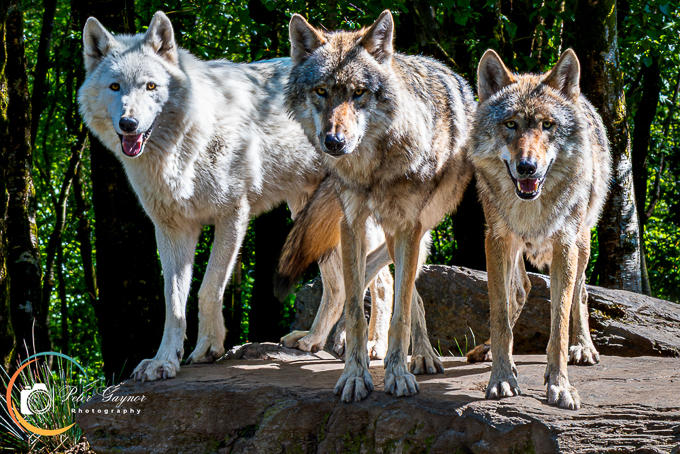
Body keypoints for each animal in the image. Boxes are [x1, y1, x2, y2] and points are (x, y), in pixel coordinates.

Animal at [77, 11, 395, 382]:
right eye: (115, 87)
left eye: (151, 86)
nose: (129, 123)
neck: (185, 145)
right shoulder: (172, 230)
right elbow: (173, 303)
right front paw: (164, 362)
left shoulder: (233, 216)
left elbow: (208, 290)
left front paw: (207, 348)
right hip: (312, 219)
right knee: (338, 286)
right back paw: (313, 340)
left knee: (383, 281)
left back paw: (373, 346)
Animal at [277, 11, 475, 402]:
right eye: (321, 91)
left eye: (359, 93)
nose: (334, 142)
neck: (374, 168)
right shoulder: (351, 223)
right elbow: (356, 307)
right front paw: (354, 374)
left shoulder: (409, 226)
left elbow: (400, 311)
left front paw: (398, 374)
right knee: (372, 282)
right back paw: (325, 338)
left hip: (418, 229)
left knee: (400, 288)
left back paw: (422, 356)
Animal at [466, 49, 611, 410]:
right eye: (510, 124)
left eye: (548, 125)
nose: (527, 167)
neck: (532, 207)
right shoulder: (496, 240)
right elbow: (500, 314)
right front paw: (502, 377)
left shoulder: (565, 245)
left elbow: (558, 323)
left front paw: (559, 385)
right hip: (515, 248)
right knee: (522, 289)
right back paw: (488, 348)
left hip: (582, 243)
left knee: (581, 293)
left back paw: (583, 347)